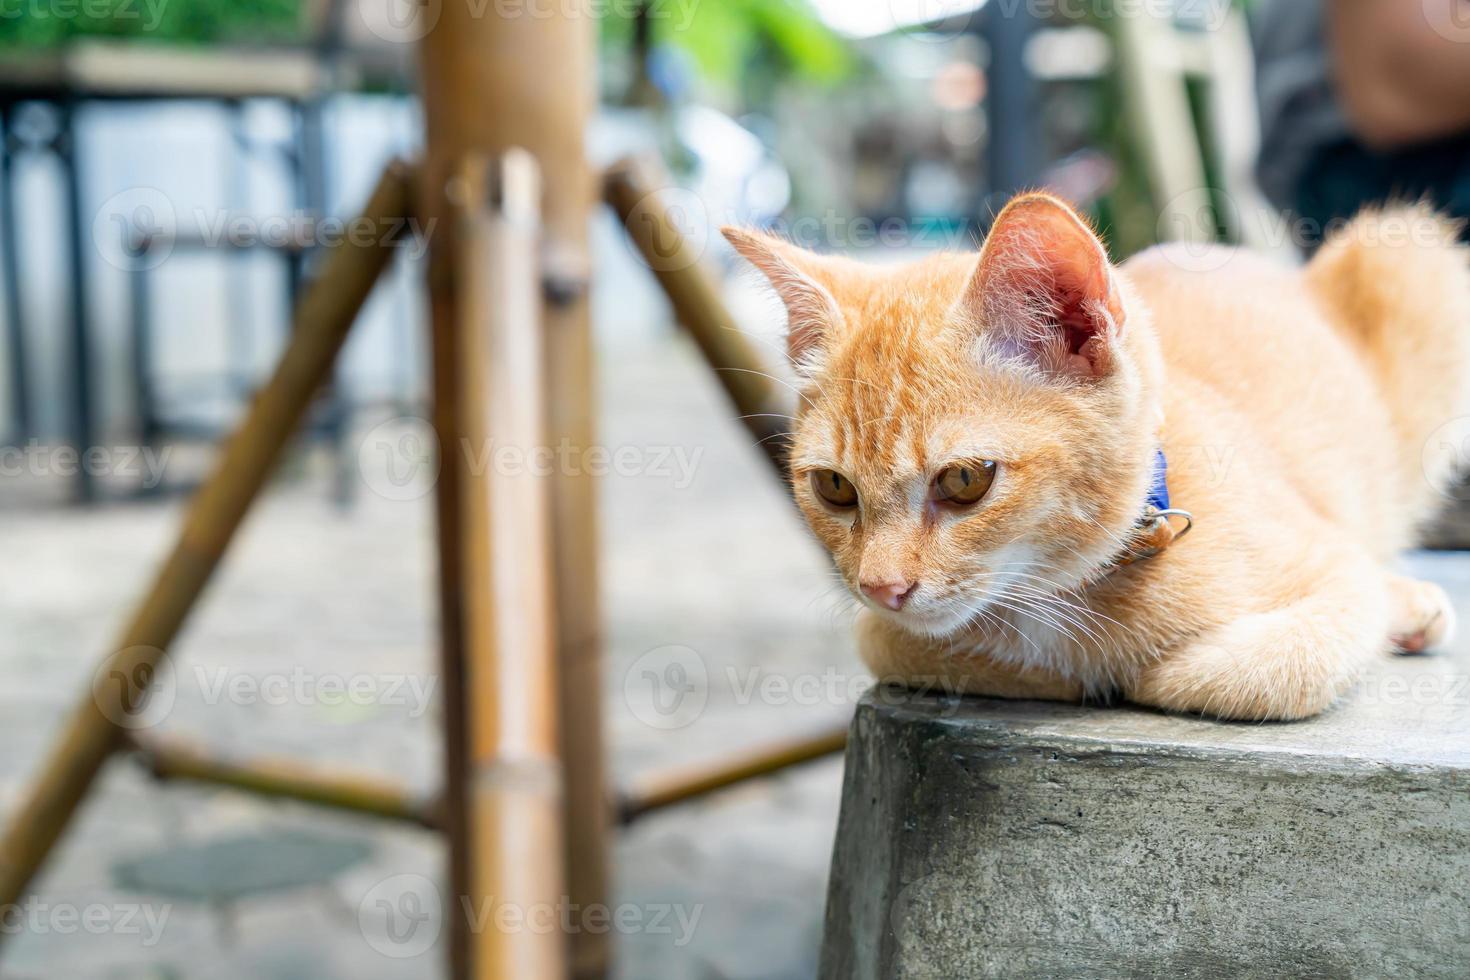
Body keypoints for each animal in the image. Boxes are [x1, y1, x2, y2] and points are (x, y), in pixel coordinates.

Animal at [726, 196, 1470, 719]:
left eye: (965, 480)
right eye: (833, 488)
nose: (882, 588)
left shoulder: (1335, 570)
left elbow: (1266, 670)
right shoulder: (887, 632)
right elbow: (894, 642)